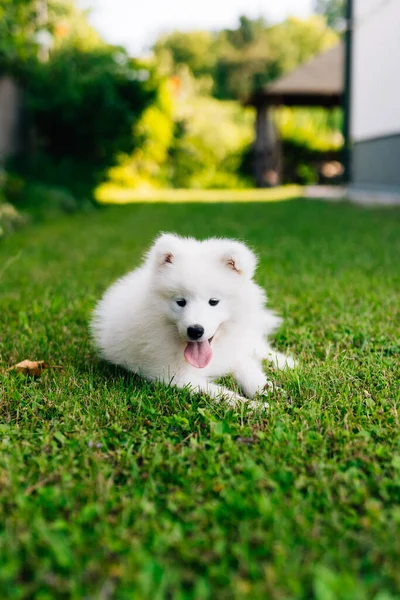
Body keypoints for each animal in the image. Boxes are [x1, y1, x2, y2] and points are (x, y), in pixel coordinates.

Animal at [90, 234, 294, 408]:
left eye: (213, 301)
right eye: (180, 302)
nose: (195, 330)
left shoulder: (234, 350)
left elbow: (249, 370)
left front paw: (269, 391)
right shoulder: (173, 376)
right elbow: (222, 394)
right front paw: (256, 406)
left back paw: (290, 365)